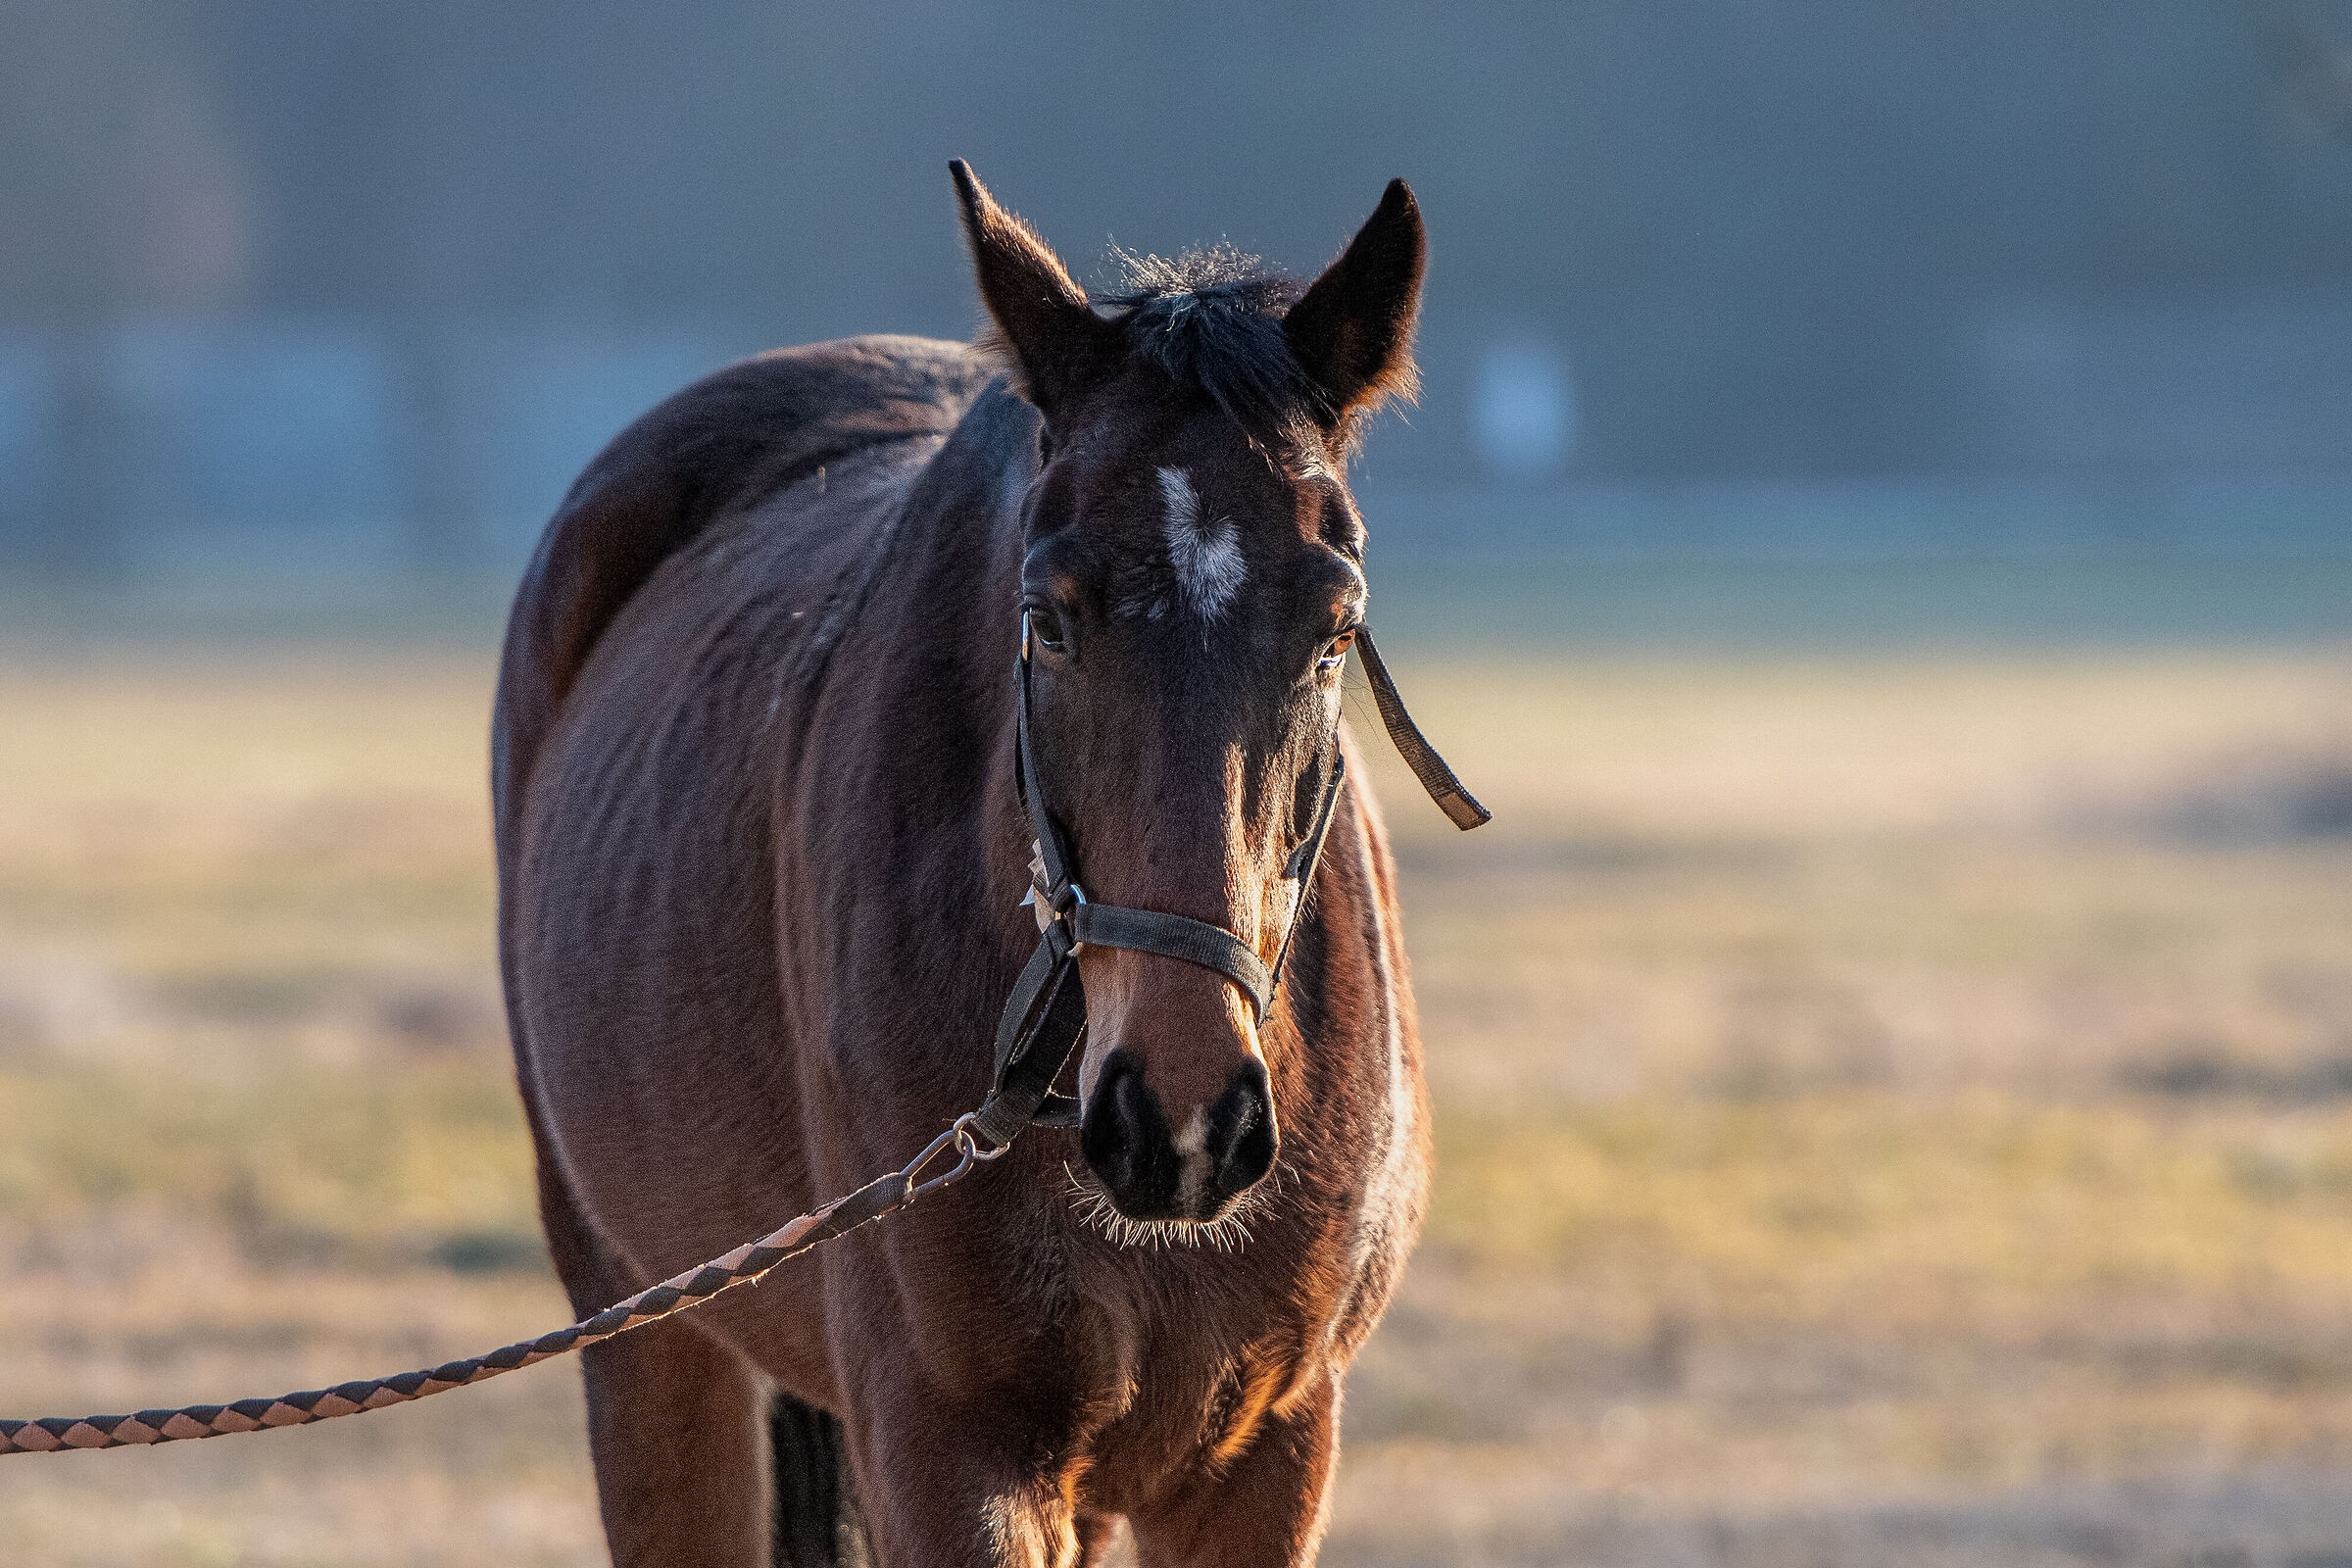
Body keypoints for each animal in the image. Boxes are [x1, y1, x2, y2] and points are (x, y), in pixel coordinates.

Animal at [493, 161, 1465, 1567]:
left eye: (1337, 627)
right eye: (1047, 617)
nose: (1182, 1119)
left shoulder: (1265, 1453)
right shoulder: (948, 1451)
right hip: (644, 1332)